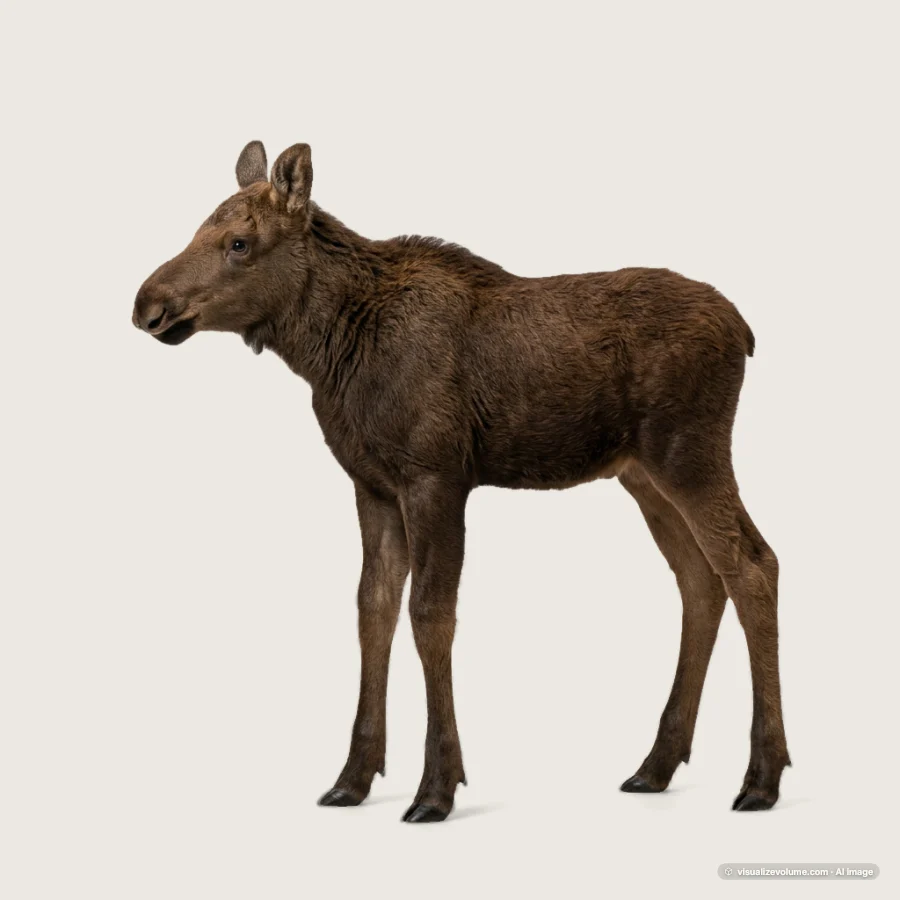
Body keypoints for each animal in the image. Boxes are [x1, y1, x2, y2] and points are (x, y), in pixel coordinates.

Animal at [133, 140, 789, 823]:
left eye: (238, 241)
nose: (147, 305)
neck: (330, 352)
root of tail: (745, 332)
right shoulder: (371, 484)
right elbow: (372, 608)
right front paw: (352, 778)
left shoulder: (436, 476)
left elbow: (430, 614)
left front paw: (435, 788)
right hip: (641, 474)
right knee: (700, 579)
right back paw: (656, 765)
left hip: (690, 453)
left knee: (753, 565)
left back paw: (761, 777)